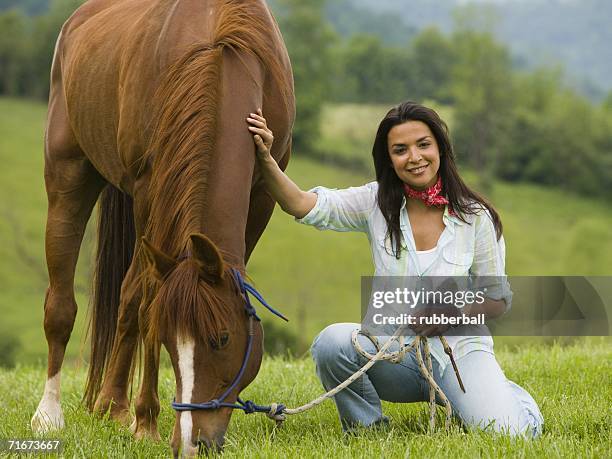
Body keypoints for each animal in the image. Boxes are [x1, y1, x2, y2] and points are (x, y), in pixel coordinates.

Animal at [29, 0, 296, 452]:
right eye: (170, 341)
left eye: (222, 338)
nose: (192, 442)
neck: (221, 51)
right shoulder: (147, 191)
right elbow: (147, 301)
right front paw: (146, 421)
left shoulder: (263, 195)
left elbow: (139, 298)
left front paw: (136, 416)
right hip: (68, 176)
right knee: (62, 306)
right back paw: (50, 415)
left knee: (124, 299)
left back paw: (111, 405)